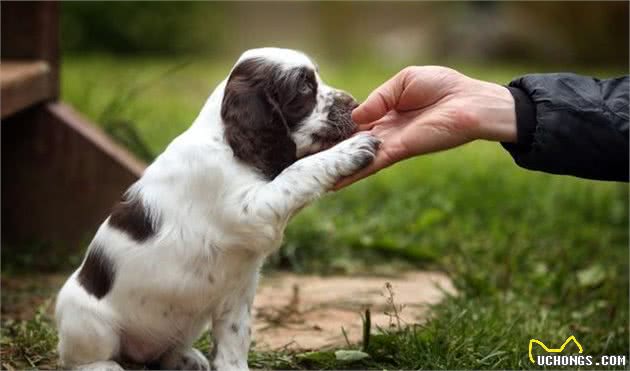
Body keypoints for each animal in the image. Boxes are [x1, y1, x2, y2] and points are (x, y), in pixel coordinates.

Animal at [54, 48, 380, 370]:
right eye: (303, 87)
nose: (355, 104)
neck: (226, 142)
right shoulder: (251, 210)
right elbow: (297, 172)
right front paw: (350, 151)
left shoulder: (237, 294)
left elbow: (234, 344)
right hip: (87, 321)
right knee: (82, 358)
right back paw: (106, 366)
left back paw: (186, 359)